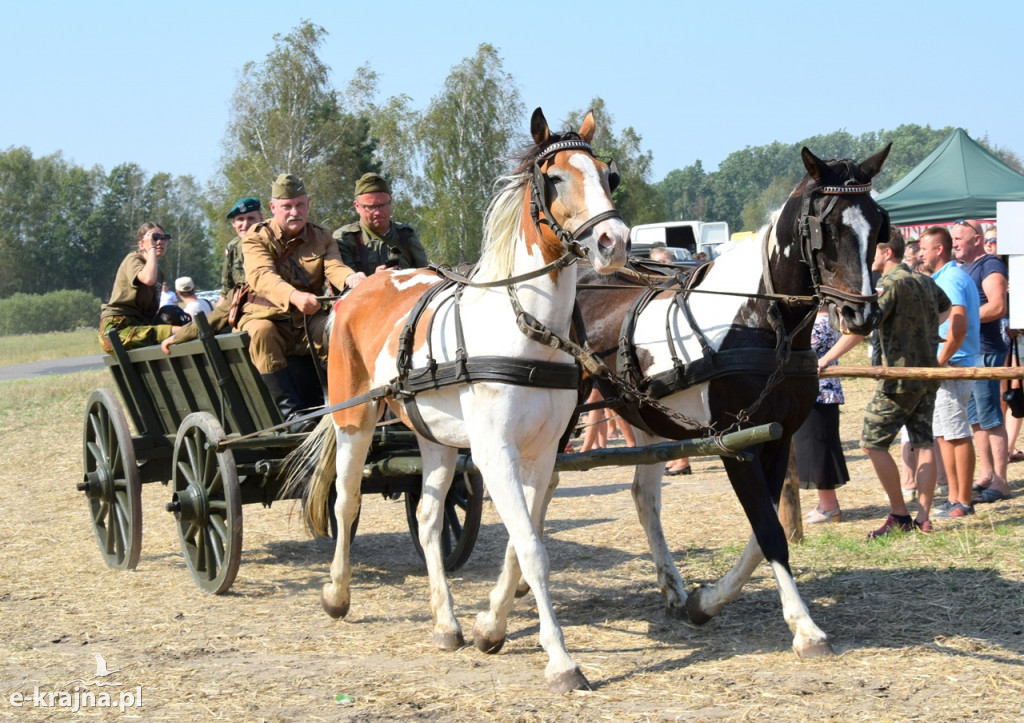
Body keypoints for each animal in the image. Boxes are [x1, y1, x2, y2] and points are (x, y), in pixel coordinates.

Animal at [284, 107, 626, 688]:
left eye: (609, 176)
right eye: (555, 178)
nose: (614, 242)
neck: (524, 329)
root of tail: (358, 289)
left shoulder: (541, 454)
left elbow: (521, 542)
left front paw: (490, 626)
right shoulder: (494, 453)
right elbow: (531, 549)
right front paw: (560, 661)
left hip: (435, 439)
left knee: (426, 516)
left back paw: (446, 623)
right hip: (355, 420)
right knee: (346, 501)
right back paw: (337, 593)